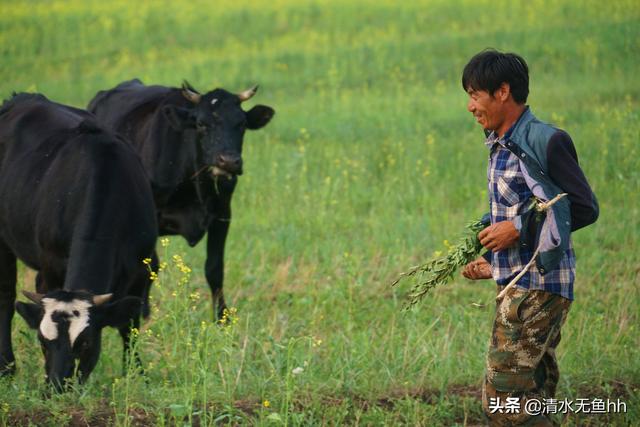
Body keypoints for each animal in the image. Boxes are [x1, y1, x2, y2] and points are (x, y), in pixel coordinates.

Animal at [0, 93, 158, 392]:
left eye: (85, 343)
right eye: (43, 341)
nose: (57, 387)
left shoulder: (141, 269)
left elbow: (129, 326)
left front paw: (136, 374)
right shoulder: (49, 270)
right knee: (4, 299)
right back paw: (6, 368)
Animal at [87, 80, 272, 320]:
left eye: (241, 124)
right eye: (201, 124)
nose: (229, 161)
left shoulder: (222, 215)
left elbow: (215, 268)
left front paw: (222, 317)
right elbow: (152, 267)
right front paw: (144, 313)